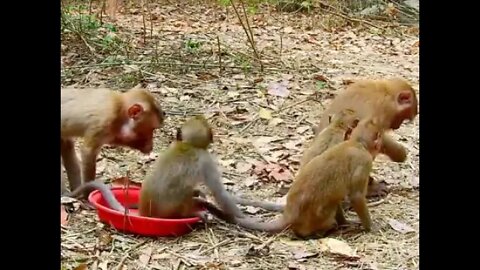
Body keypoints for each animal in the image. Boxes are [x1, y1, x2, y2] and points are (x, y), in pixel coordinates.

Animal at [67, 116, 244, 224]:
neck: (187, 145)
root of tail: (147, 213)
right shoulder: (206, 159)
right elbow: (219, 192)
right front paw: (241, 216)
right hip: (174, 209)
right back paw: (192, 213)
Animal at [231, 117, 384, 237]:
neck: (357, 143)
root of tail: (289, 213)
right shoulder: (365, 161)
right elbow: (356, 196)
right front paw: (371, 227)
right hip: (318, 217)